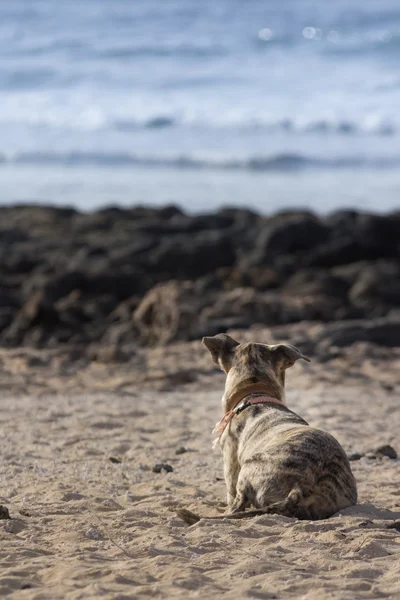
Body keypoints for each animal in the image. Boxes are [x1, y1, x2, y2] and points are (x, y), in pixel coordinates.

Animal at [177, 332, 358, 524]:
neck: (255, 393)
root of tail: (300, 489)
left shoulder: (230, 463)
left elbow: (231, 494)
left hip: (247, 470)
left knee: (237, 505)